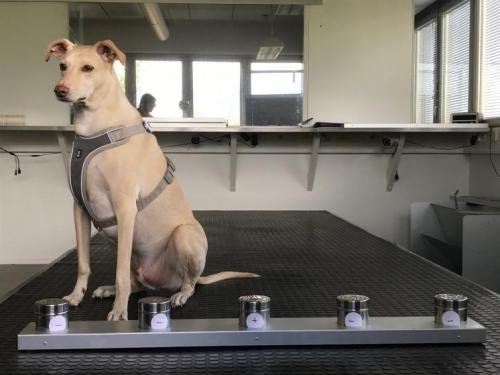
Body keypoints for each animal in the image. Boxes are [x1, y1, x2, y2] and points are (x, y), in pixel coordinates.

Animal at [46, 37, 258, 320]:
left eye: (88, 68)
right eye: (62, 66)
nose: (60, 90)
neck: (96, 130)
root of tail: (161, 282)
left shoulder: (125, 209)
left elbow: (120, 273)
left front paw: (119, 313)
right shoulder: (79, 209)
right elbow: (83, 264)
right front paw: (75, 296)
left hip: (183, 236)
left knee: (188, 283)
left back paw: (180, 294)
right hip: (131, 253)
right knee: (136, 282)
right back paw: (109, 289)